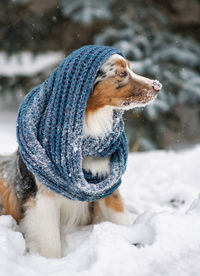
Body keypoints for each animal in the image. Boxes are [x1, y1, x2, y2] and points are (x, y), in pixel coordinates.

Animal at [0, 52, 162, 258]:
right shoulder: (42, 200)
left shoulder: (106, 184)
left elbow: (119, 217)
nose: (158, 86)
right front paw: (53, 262)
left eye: (130, 69)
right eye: (122, 73)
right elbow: (51, 243)